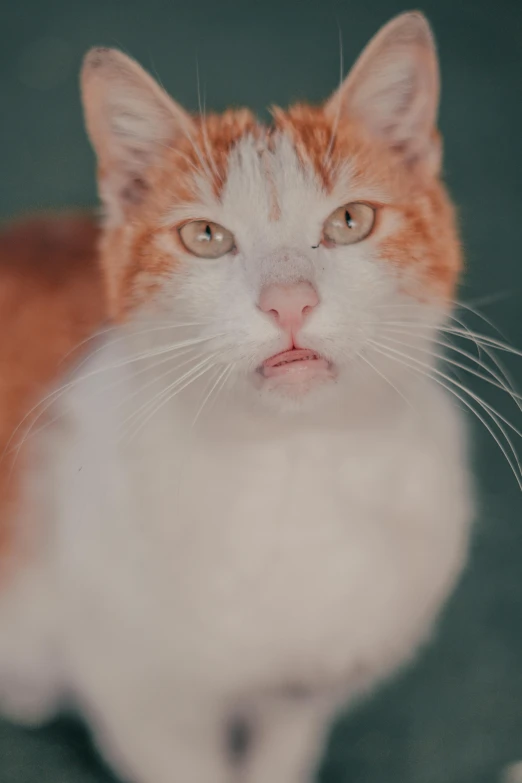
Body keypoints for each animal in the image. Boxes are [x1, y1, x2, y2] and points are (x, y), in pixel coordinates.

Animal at [0, 12, 472, 783]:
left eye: (350, 221)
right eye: (205, 236)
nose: (289, 300)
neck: (293, 466)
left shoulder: (304, 689)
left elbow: (284, 746)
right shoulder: (143, 704)